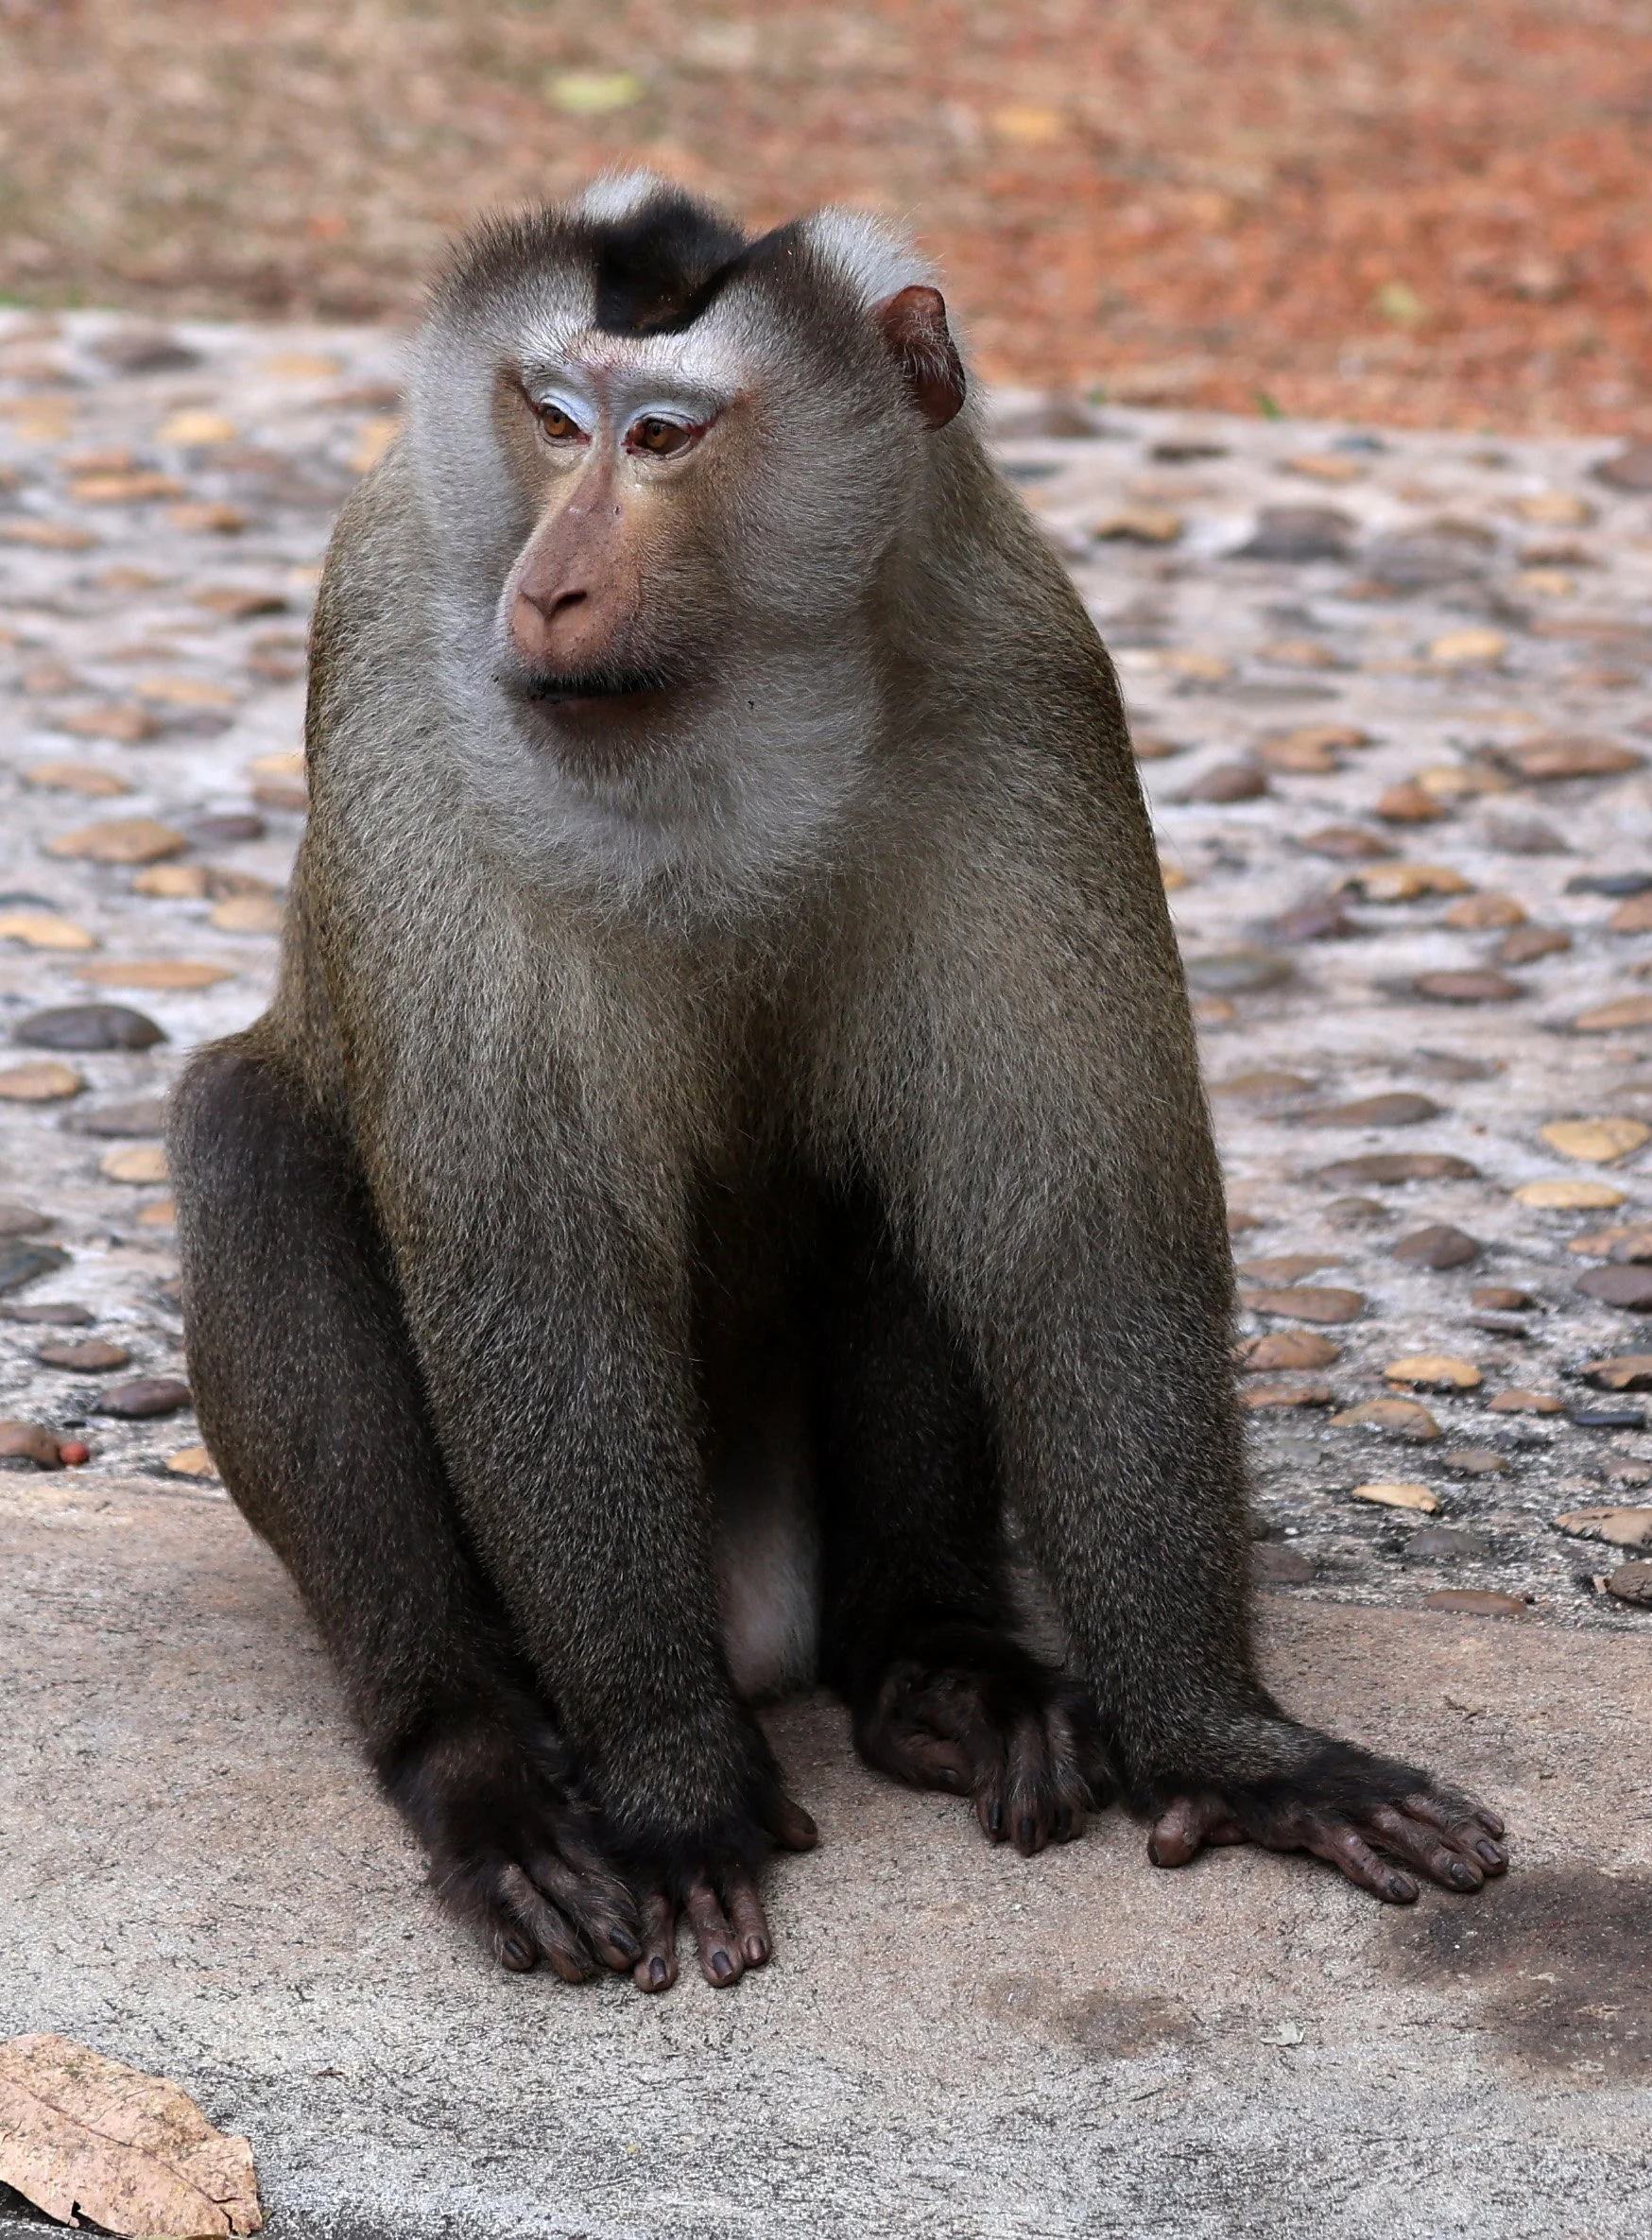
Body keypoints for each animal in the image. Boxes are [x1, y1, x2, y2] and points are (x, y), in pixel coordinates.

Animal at [169, 174, 1507, 1996]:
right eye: (553, 419)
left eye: (664, 436)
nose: (549, 586)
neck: (735, 702)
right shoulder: (399, 651)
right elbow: (533, 1264)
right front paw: (673, 1786)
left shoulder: (1019, 672)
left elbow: (1081, 1227)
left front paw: (1229, 1746)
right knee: (248, 1139)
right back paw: (474, 1754)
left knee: (902, 1165)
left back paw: (935, 1656)